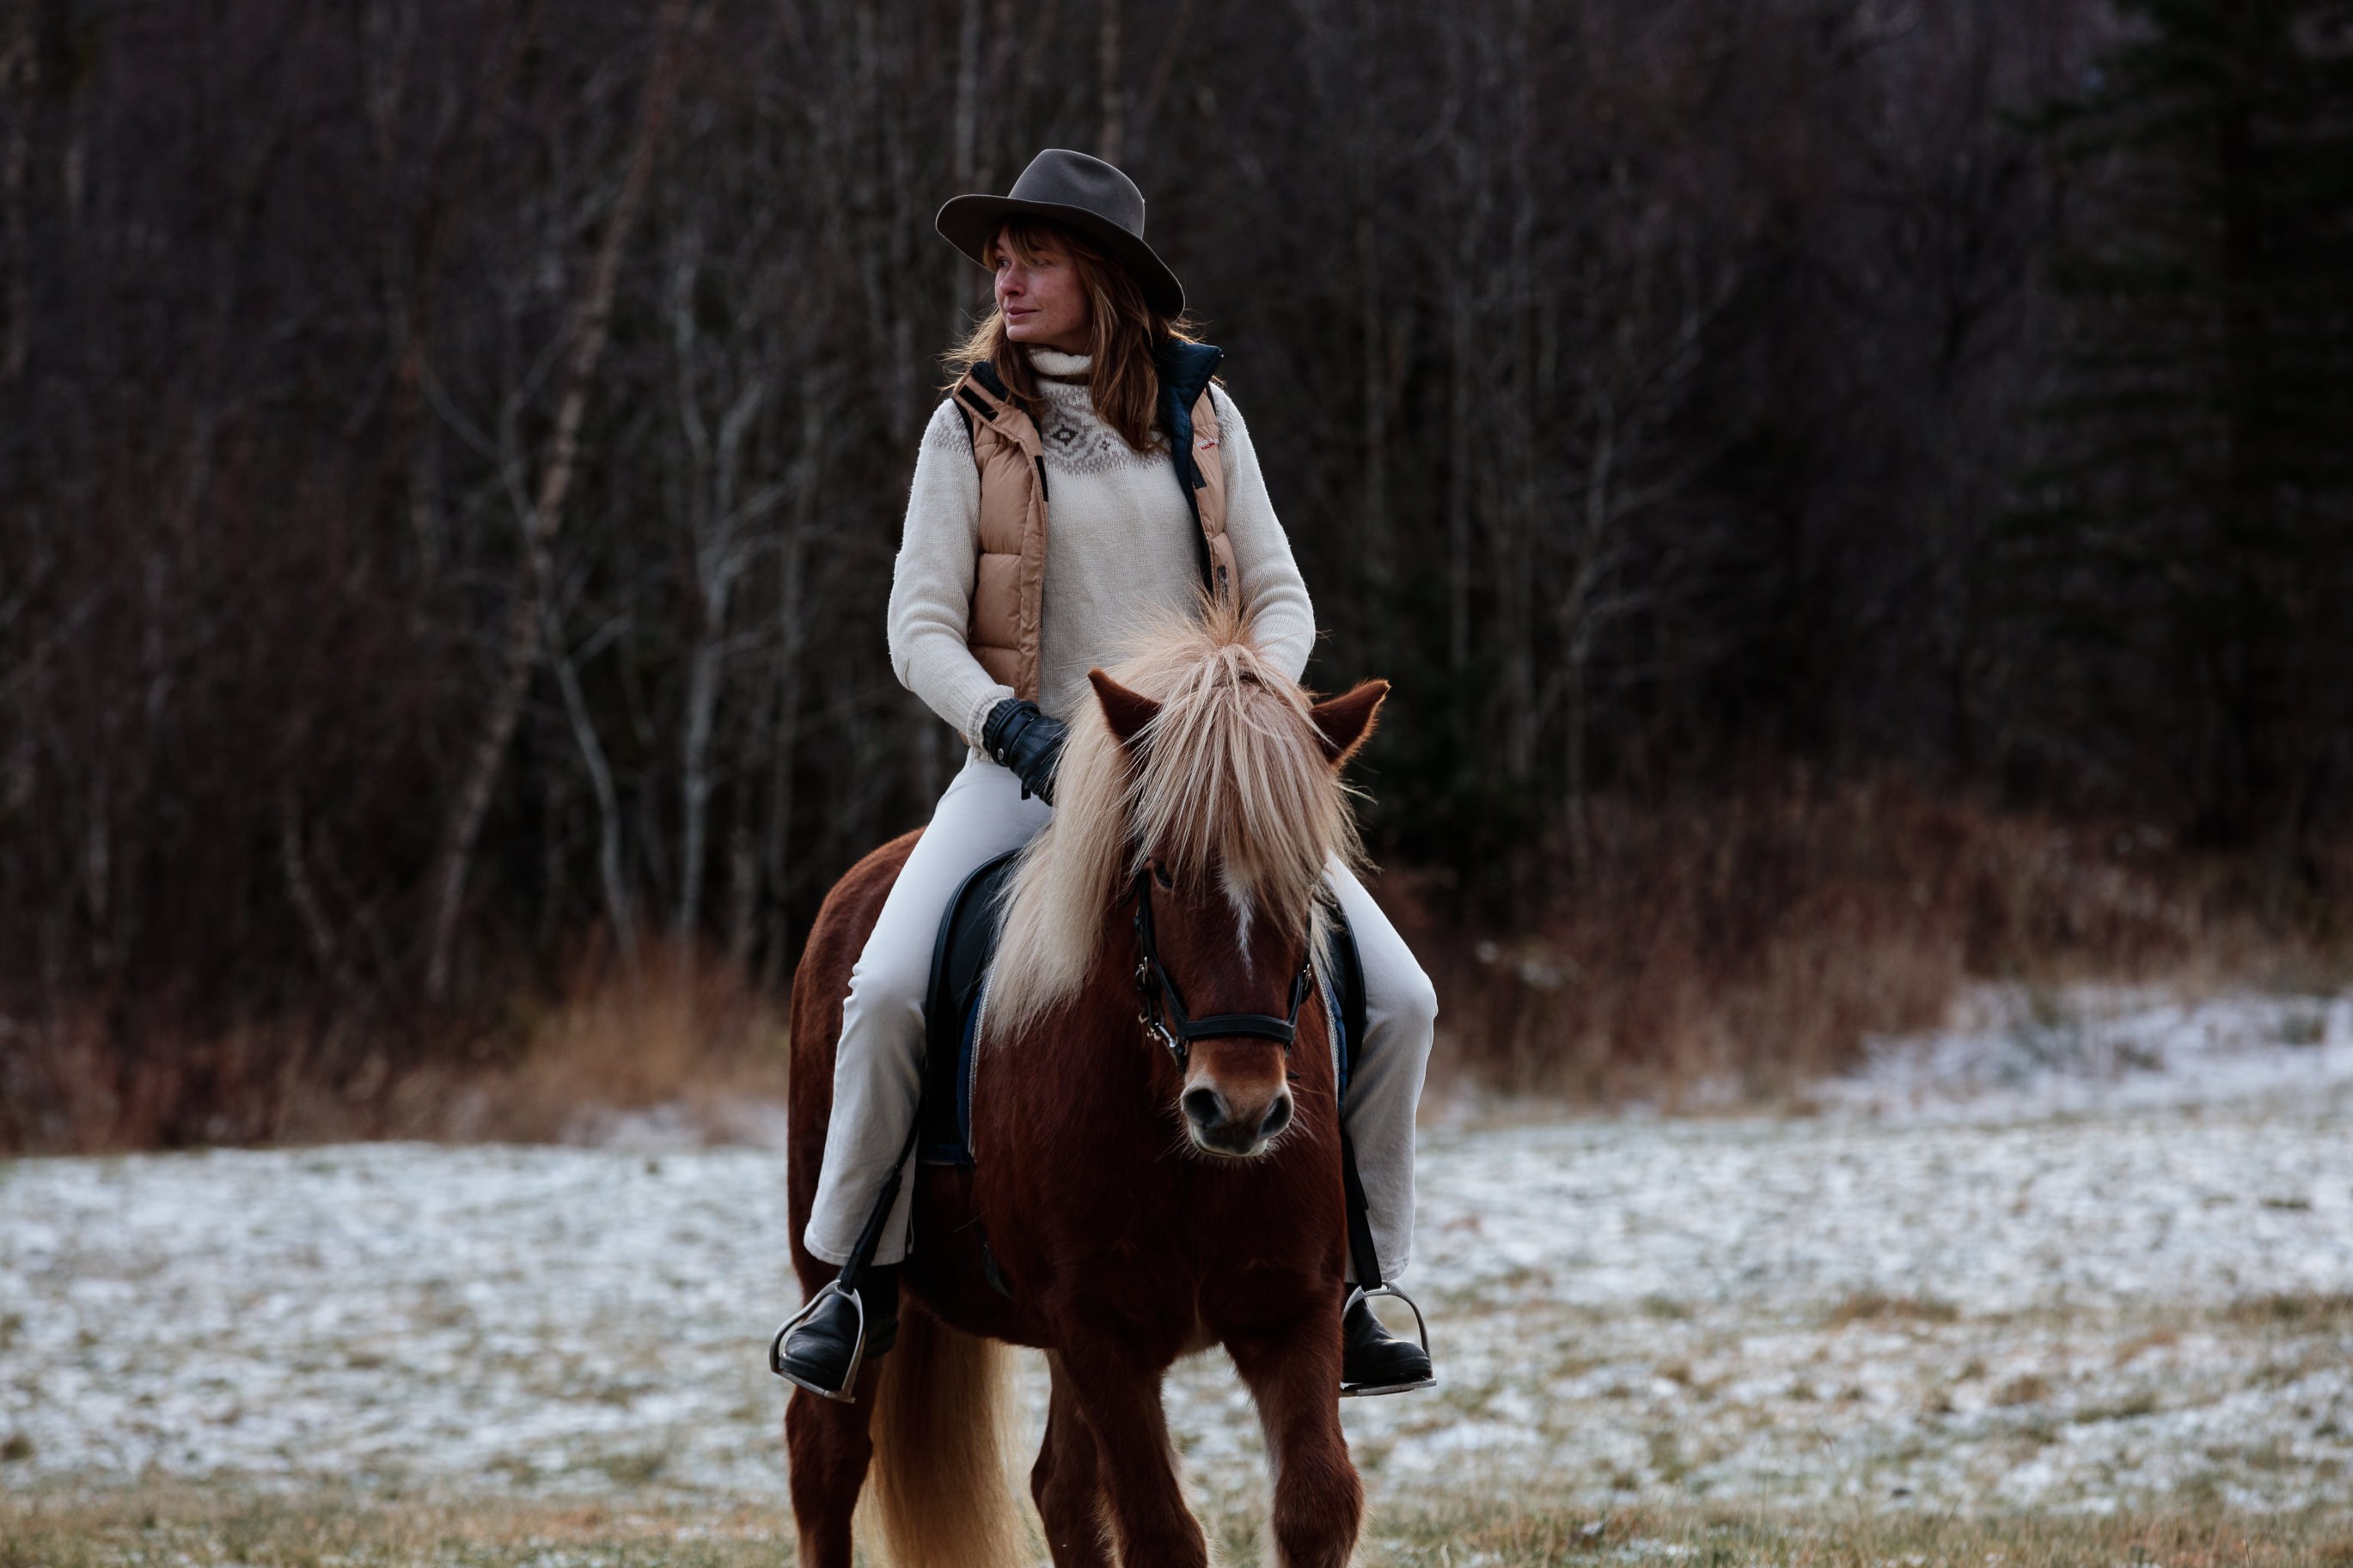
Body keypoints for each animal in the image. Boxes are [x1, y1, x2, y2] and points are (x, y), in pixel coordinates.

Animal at [783, 604, 1390, 1568]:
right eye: (1162, 868)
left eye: (1305, 874)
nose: (1240, 1109)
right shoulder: (1096, 1329)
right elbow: (1162, 1535)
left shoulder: (1291, 1310)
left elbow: (1316, 1508)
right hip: (843, 1270)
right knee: (826, 1460)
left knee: (1060, 1491)